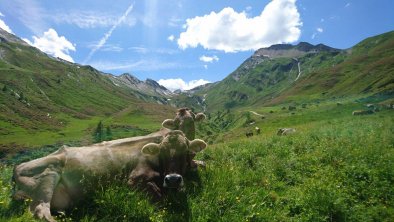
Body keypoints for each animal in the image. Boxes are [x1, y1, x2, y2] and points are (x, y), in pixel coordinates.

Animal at [13, 130, 208, 222]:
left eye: (186, 151)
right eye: (163, 152)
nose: (173, 179)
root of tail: (17, 167)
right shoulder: (133, 181)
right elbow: (161, 198)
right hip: (47, 176)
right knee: (41, 212)